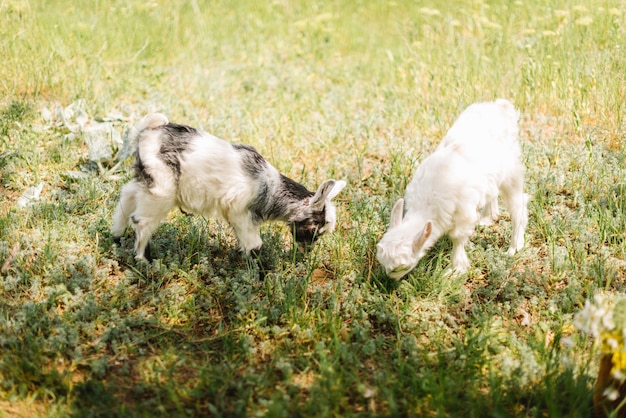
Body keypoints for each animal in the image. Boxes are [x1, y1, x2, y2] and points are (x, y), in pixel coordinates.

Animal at [112, 112, 346, 260]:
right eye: (315, 228)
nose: (307, 252)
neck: (271, 189)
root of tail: (149, 132)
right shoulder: (240, 214)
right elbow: (254, 247)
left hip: (146, 179)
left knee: (127, 195)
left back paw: (117, 237)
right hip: (161, 189)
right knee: (142, 221)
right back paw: (144, 261)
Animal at [376, 99, 528, 280]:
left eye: (400, 267)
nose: (390, 280)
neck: (428, 201)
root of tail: (502, 106)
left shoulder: (464, 214)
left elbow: (457, 238)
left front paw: (455, 269)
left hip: (511, 170)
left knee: (518, 205)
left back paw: (514, 246)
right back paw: (487, 218)